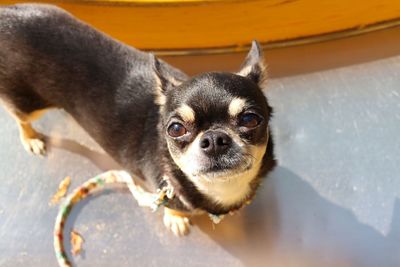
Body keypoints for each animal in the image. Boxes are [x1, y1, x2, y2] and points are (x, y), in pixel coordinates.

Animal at [0, 3, 276, 237]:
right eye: (176, 129)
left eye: (250, 119)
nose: (214, 138)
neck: (220, 189)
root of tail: (8, 13)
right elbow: (172, 207)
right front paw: (176, 218)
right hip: (28, 103)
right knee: (20, 117)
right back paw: (31, 138)